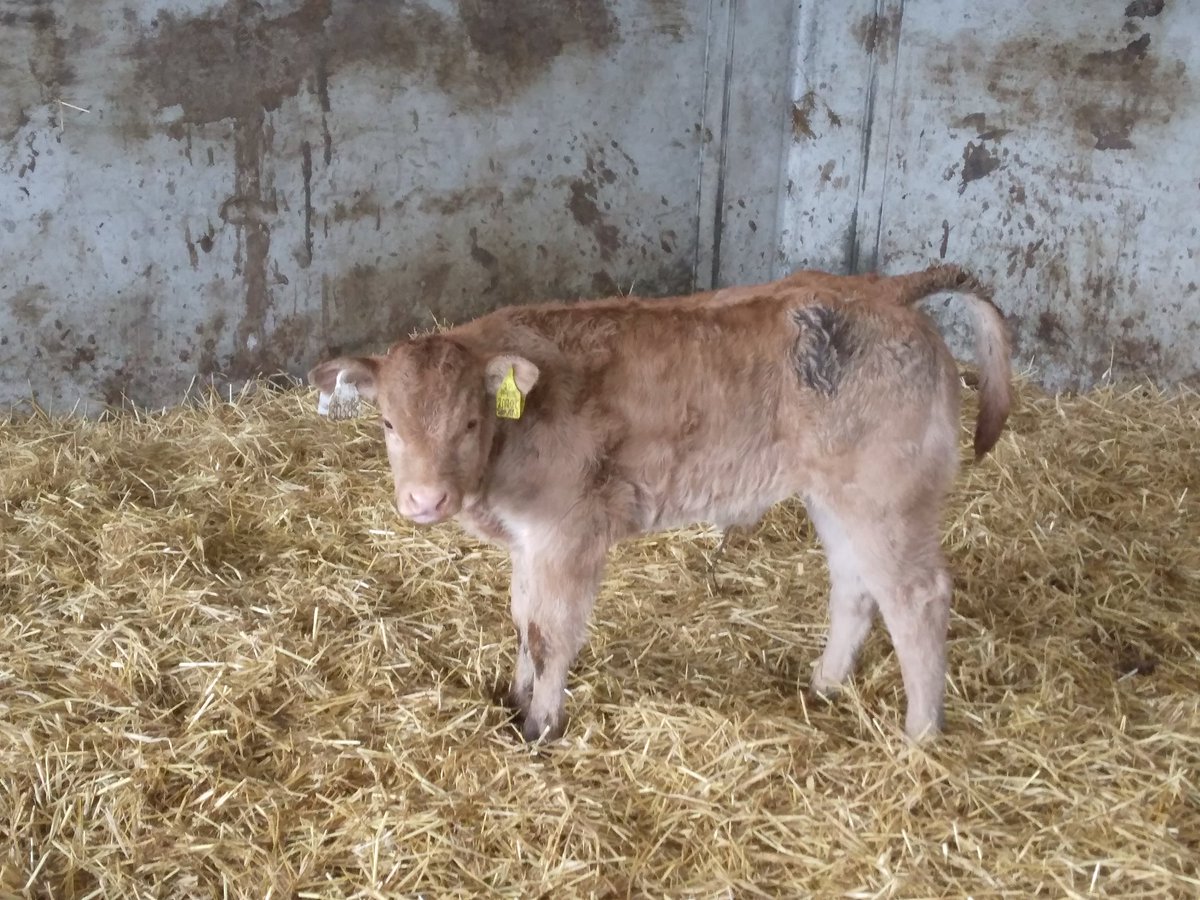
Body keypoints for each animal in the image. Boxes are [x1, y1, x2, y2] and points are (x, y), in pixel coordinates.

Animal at [308, 263, 1012, 743]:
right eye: (389, 423)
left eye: (470, 423)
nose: (426, 499)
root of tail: (882, 289)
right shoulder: (529, 540)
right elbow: (523, 620)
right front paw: (514, 698)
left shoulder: (567, 534)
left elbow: (551, 633)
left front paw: (540, 726)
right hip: (834, 496)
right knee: (855, 587)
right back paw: (824, 686)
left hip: (888, 497)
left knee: (918, 598)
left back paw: (919, 736)